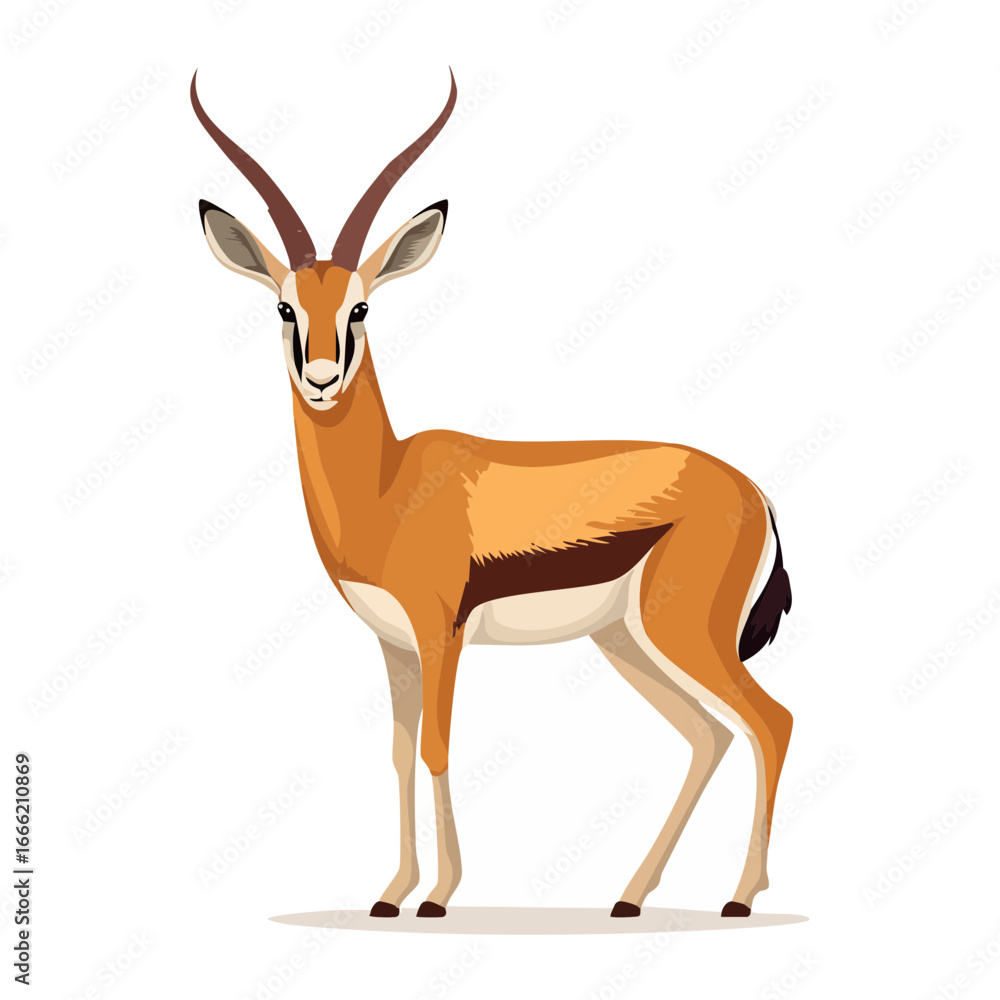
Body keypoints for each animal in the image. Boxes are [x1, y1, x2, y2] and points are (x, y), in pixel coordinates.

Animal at [191, 70, 794, 921]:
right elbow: (398, 751)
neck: (389, 484)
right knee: (708, 735)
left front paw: (439, 897)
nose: (321, 378)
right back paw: (629, 897)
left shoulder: (440, 633)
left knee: (769, 722)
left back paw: (738, 899)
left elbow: (438, 746)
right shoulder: (394, 643)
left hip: (681, 635)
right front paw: (391, 894)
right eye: (284, 305)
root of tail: (754, 491)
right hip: (625, 640)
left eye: (361, 306)